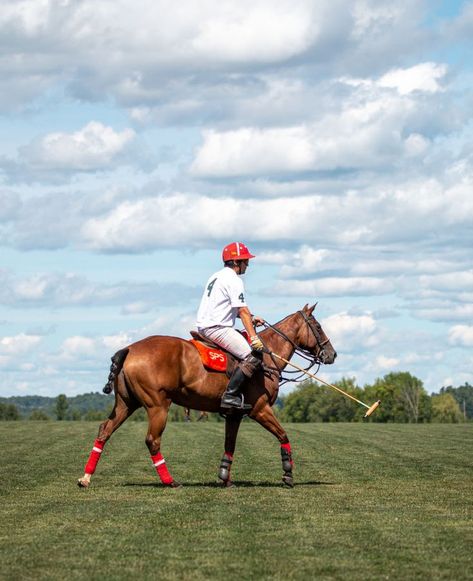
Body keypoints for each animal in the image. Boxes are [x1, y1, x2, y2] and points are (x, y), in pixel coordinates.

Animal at [78, 306, 336, 488]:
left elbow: (229, 444)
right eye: (318, 326)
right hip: (158, 404)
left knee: (105, 430)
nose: (332, 354)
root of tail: (130, 348)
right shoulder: (260, 409)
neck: (267, 358)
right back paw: (170, 481)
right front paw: (288, 474)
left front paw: (225, 478)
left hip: (126, 403)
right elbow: (283, 435)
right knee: (152, 440)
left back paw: (85, 478)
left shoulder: (235, 414)